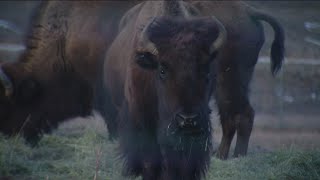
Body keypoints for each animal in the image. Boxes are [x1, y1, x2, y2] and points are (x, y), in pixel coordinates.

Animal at [103, 0, 284, 179]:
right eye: (162, 70)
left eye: (206, 70)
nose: (188, 119)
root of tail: (249, 11)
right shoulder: (141, 117)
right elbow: (149, 159)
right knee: (232, 117)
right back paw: (222, 155)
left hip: (231, 84)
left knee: (241, 115)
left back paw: (236, 156)